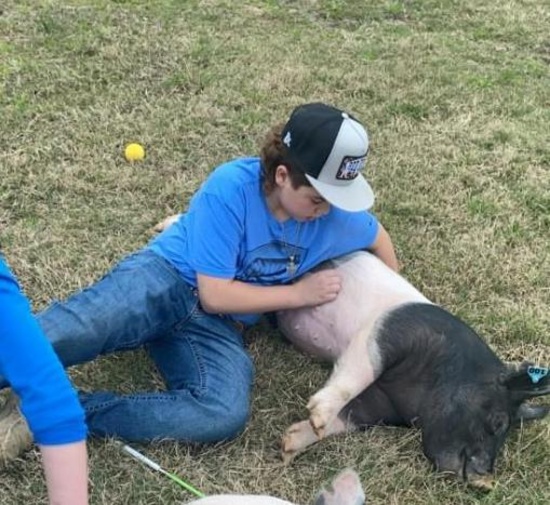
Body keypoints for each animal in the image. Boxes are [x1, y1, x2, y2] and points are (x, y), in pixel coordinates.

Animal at [280, 252, 550, 488]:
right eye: (498, 422)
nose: (486, 480)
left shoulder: (378, 404)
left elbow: (348, 418)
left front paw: (288, 447)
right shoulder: (384, 334)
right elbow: (356, 377)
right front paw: (318, 419)